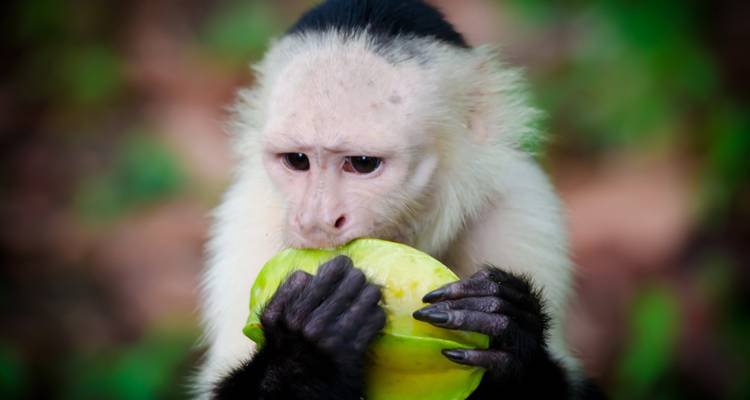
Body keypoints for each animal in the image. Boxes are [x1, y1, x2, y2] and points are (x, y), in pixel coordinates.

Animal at [196, 0, 604, 398]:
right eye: (297, 160)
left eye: (362, 163)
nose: (316, 220)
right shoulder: (247, 213)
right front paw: (306, 345)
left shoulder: (521, 202)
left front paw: (508, 324)